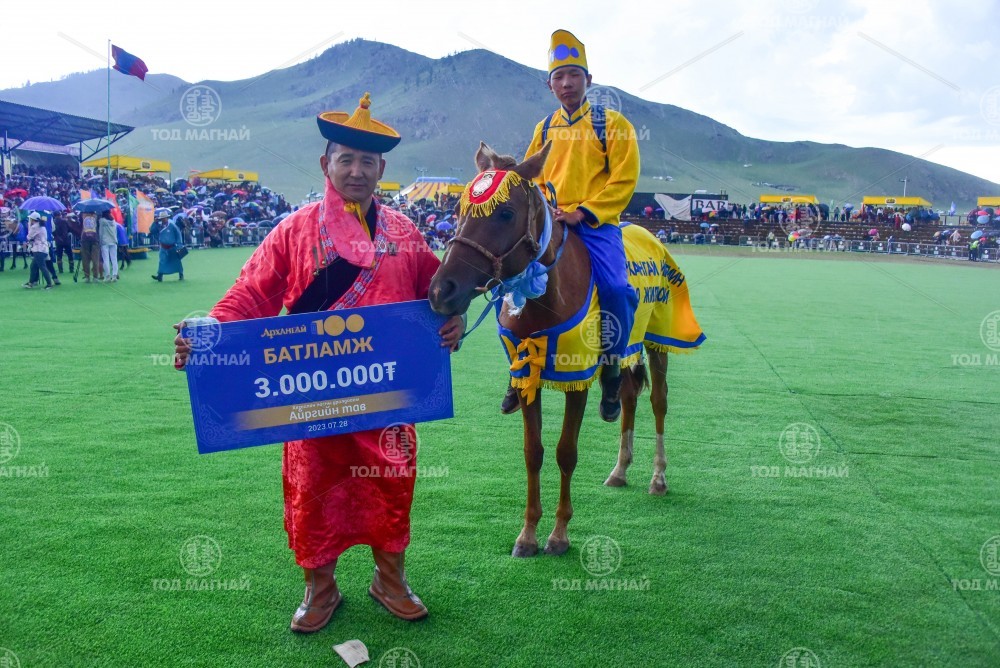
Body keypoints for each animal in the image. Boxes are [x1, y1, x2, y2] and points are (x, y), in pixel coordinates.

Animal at [428, 142, 704, 557]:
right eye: (458, 210)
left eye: (506, 213)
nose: (441, 290)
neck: (543, 294)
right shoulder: (527, 376)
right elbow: (534, 452)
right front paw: (527, 534)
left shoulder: (576, 380)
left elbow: (565, 452)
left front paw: (559, 535)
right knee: (627, 395)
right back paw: (620, 468)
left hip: (658, 342)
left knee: (658, 403)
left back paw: (657, 477)